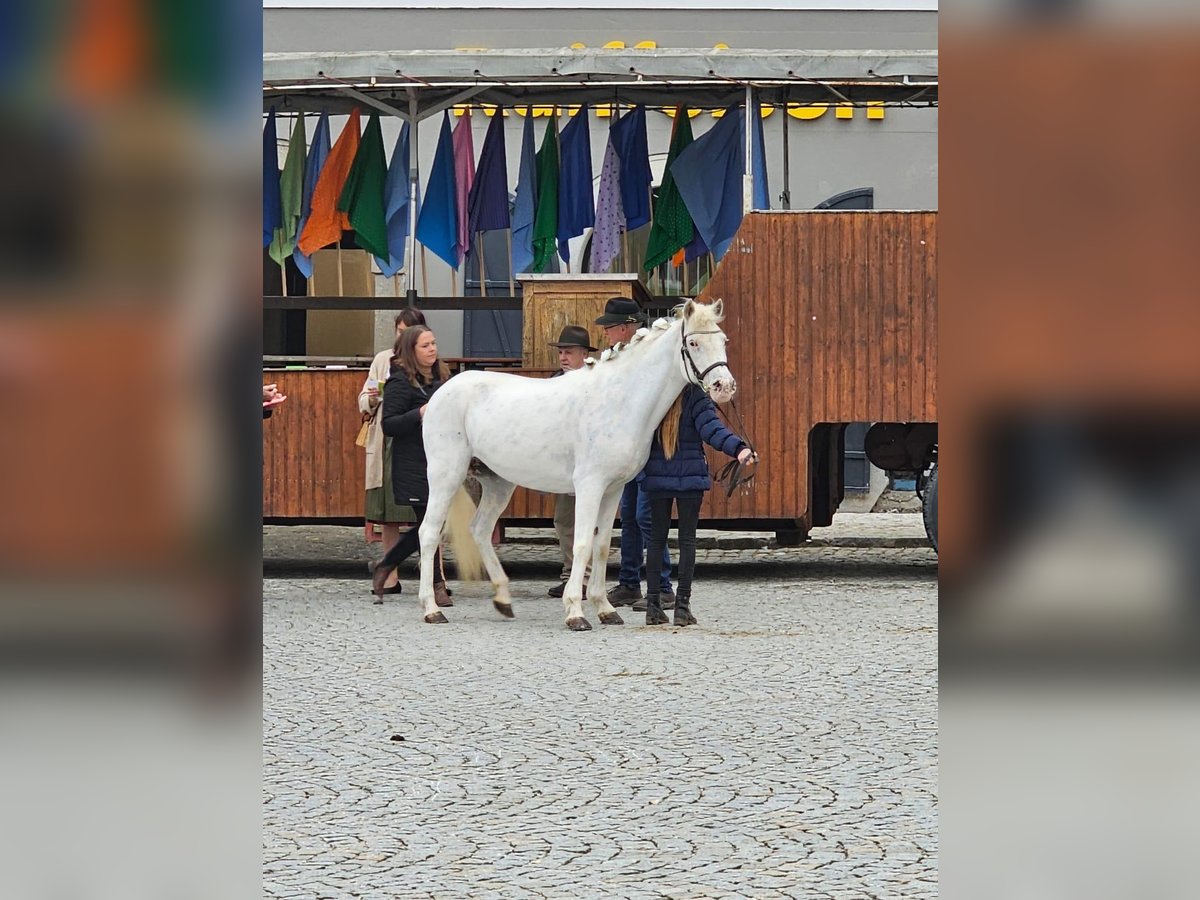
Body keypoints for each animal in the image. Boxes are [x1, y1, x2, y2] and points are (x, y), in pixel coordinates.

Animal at [415, 300, 729, 628]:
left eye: (723, 341)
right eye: (693, 343)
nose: (724, 386)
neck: (620, 400)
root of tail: (440, 393)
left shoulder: (614, 490)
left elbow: (601, 545)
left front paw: (605, 609)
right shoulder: (590, 486)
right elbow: (582, 544)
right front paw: (576, 611)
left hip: (498, 483)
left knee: (479, 529)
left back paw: (503, 600)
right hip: (446, 475)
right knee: (429, 533)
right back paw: (432, 609)